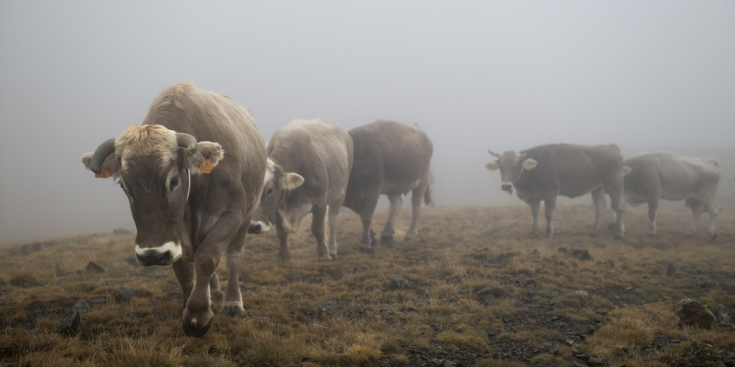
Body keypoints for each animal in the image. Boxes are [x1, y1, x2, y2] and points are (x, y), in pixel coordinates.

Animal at [80, 82, 268, 338]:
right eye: (123, 186)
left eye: (174, 180)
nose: (151, 256)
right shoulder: (175, 234)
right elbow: (184, 270)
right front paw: (190, 307)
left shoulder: (232, 213)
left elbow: (208, 257)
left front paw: (198, 315)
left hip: (247, 215)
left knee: (233, 256)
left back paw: (231, 300)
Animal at [249, 119, 356, 264]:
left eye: (270, 190)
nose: (253, 226)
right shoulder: (278, 206)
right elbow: (281, 232)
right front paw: (284, 256)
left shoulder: (319, 202)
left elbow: (317, 229)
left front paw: (323, 254)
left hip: (340, 193)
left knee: (333, 219)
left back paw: (332, 250)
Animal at [344, 121, 434, 253]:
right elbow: (361, 213)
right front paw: (372, 237)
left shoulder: (373, 190)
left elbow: (366, 217)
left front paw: (365, 244)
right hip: (394, 186)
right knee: (397, 204)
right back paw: (387, 233)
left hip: (423, 178)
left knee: (417, 206)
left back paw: (411, 233)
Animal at [488, 142, 628, 240]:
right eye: (501, 166)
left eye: (517, 165)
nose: (506, 186)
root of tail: (610, 147)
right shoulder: (534, 196)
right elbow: (535, 213)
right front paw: (535, 230)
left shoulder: (551, 193)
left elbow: (548, 214)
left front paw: (549, 233)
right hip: (597, 188)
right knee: (600, 208)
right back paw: (594, 231)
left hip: (615, 186)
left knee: (619, 207)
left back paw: (619, 233)